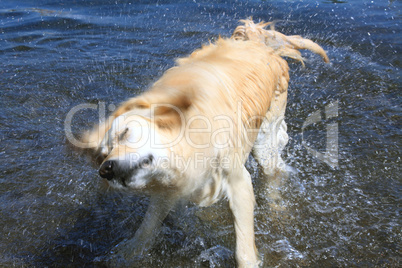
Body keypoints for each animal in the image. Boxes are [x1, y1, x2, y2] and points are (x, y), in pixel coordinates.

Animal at [80, 19, 328, 268]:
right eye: (104, 153)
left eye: (124, 133)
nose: (105, 169)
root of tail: (254, 39)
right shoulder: (170, 185)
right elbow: (145, 229)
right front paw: (126, 254)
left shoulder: (238, 180)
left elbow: (243, 249)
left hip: (265, 140)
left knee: (275, 172)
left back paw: (278, 206)